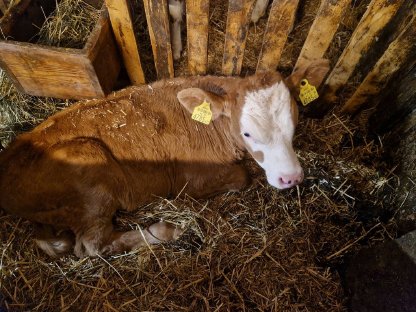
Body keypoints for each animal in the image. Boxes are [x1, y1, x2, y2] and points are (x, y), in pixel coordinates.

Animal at [0, 59, 328, 258]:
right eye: (247, 133)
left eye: (294, 121)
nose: (291, 177)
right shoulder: (191, 182)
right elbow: (242, 176)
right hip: (89, 169)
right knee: (92, 245)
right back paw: (166, 231)